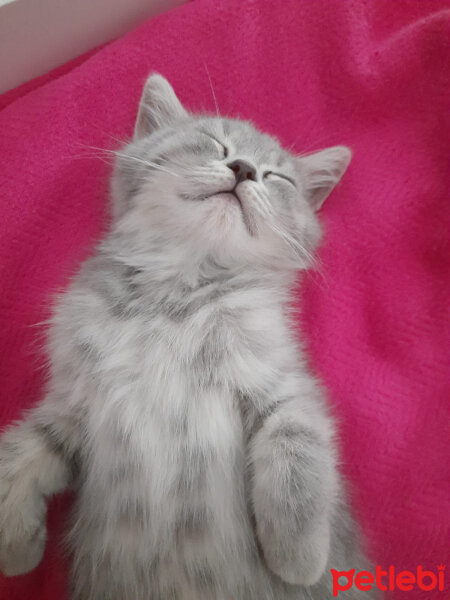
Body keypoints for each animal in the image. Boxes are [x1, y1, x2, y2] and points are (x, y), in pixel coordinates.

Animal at [0, 75, 372, 600]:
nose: (244, 168)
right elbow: (18, 455)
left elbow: (298, 449)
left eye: (278, 178)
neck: (174, 292)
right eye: (215, 143)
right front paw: (16, 546)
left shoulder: (283, 386)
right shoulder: (70, 404)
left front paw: (299, 558)